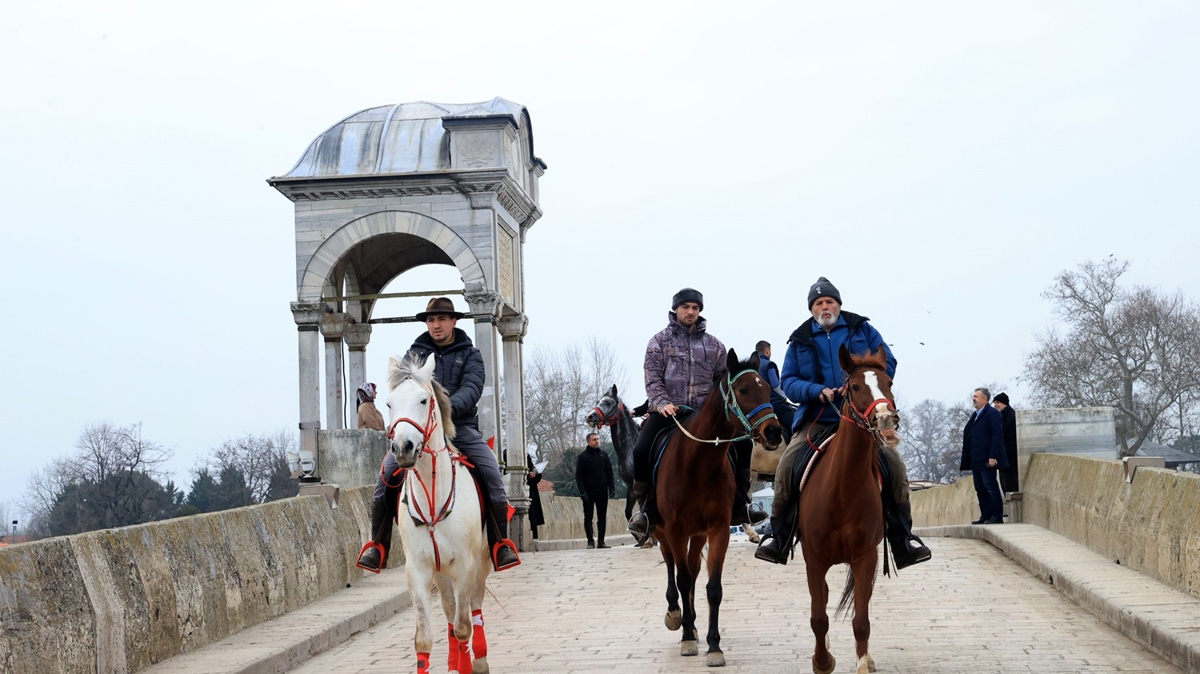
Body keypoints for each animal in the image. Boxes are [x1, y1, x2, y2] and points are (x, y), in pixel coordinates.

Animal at [388, 352, 492, 671]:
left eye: (424, 400)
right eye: (389, 404)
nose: (403, 448)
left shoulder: (466, 566)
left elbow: (463, 627)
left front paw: (470, 663)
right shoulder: (419, 570)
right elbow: (424, 637)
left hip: (481, 563)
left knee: (474, 609)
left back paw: (479, 659)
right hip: (441, 573)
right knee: (448, 610)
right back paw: (454, 662)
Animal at [652, 347, 782, 662]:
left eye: (766, 388)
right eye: (743, 389)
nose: (773, 432)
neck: (698, 463)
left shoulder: (718, 528)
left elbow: (712, 587)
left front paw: (713, 645)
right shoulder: (674, 529)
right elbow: (682, 579)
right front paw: (687, 637)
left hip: (697, 534)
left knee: (693, 569)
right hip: (663, 531)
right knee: (673, 568)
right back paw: (676, 615)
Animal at [796, 342, 902, 671]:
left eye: (889, 382)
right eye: (854, 386)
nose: (885, 418)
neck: (843, 489)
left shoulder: (865, 556)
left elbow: (861, 621)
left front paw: (862, 663)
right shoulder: (814, 558)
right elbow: (818, 617)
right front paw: (822, 661)